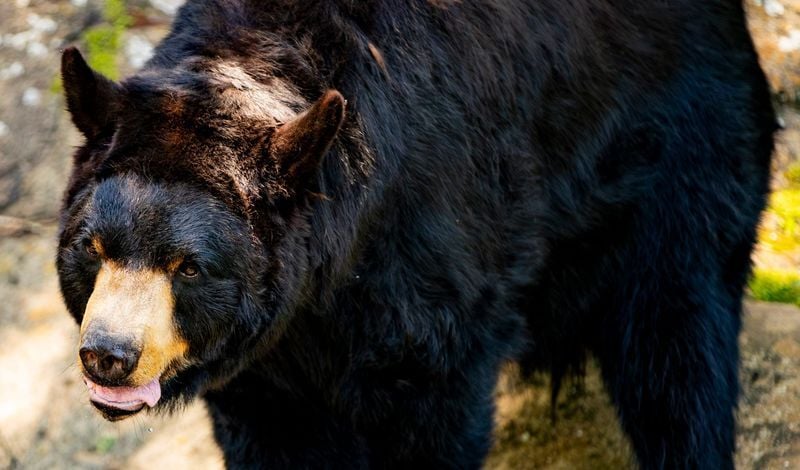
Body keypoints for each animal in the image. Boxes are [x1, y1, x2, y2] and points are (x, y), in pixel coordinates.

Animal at [56, 0, 775, 468]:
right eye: (93, 248)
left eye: (190, 266)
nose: (108, 356)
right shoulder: (263, 358)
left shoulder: (429, 253)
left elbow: (430, 399)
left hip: (681, 152)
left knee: (677, 349)